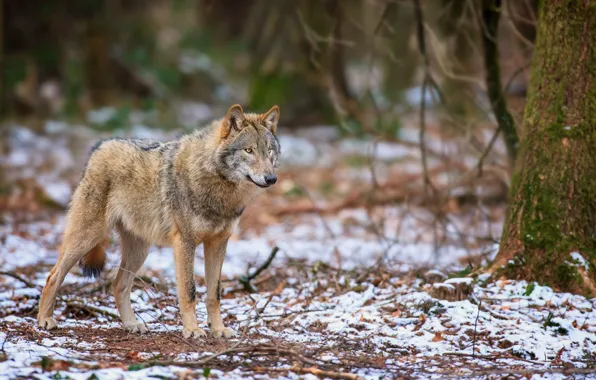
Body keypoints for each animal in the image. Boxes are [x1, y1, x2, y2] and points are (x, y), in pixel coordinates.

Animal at [36, 104, 282, 338]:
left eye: (269, 151)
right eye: (249, 150)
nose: (271, 178)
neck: (218, 186)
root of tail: (100, 145)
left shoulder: (219, 243)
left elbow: (215, 293)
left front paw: (218, 329)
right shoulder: (185, 243)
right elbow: (189, 291)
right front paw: (192, 330)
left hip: (139, 250)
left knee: (118, 285)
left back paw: (131, 324)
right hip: (88, 237)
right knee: (53, 276)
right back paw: (44, 320)